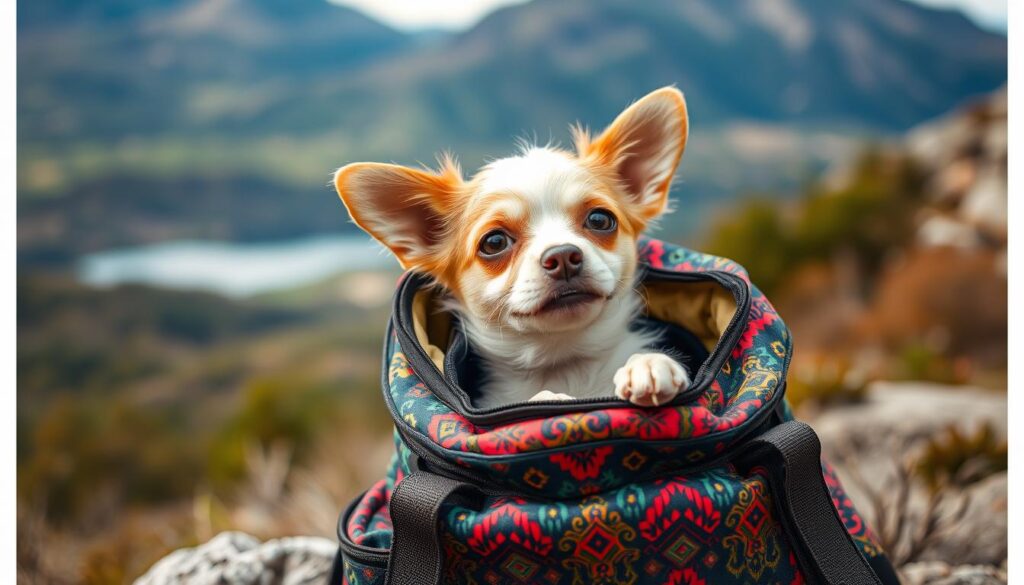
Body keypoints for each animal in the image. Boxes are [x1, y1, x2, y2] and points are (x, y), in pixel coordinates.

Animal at [333, 87, 688, 409]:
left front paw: (647, 364)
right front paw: (548, 399)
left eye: (600, 220)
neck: (563, 363)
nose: (563, 256)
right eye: (494, 242)